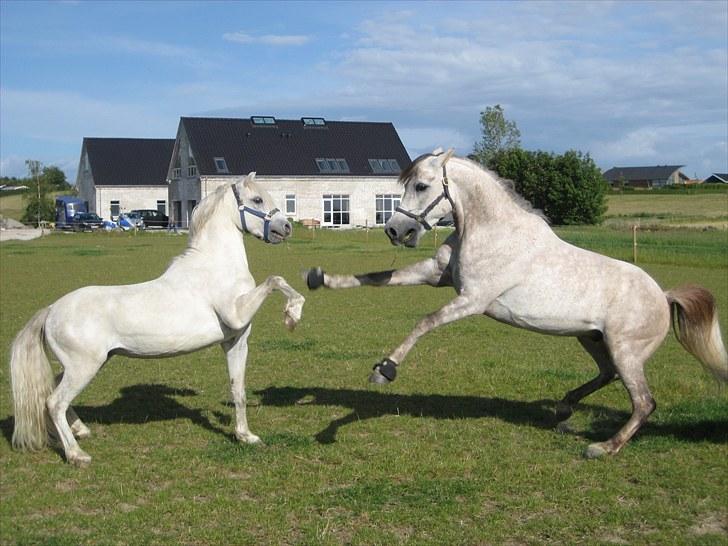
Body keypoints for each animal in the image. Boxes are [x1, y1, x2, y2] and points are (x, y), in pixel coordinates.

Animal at [10, 172, 305, 466]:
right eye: (257, 199)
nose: (286, 227)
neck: (216, 266)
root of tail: (51, 310)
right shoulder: (236, 314)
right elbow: (275, 280)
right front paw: (293, 314)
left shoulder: (236, 341)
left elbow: (238, 391)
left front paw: (246, 436)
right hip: (83, 367)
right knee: (54, 402)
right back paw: (76, 454)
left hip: (86, 364)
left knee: (53, 392)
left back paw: (81, 430)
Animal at [306, 148, 728, 458]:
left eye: (422, 186)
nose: (396, 230)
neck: (492, 231)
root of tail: (663, 295)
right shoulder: (435, 275)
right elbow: (375, 277)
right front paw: (318, 278)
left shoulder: (472, 299)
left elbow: (425, 321)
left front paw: (385, 370)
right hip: (592, 339)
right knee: (607, 376)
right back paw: (564, 408)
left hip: (627, 351)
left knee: (643, 403)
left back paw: (603, 447)